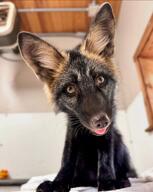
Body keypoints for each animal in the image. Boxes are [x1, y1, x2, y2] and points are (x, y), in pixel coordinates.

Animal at [17, 2, 137, 190]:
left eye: (100, 79)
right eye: (70, 89)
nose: (101, 121)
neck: (89, 136)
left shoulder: (108, 133)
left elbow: (105, 156)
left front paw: (108, 181)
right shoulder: (72, 134)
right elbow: (66, 161)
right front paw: (58, 183)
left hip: (120, 142)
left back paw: (123, 178)